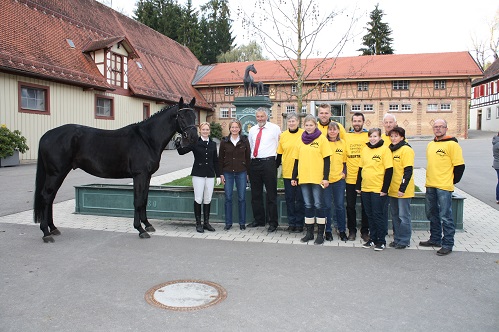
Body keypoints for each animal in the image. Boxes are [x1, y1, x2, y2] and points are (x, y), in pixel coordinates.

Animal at [33, 97, 199, 243]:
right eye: (181, 116)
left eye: (194, 116)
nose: (193, 138)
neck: (146, 139)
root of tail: (46, 135)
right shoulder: (139, 175)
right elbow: (138, 200)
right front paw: (140, 229)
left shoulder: (147, 176)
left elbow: (144, 200)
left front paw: (147, 225)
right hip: (55, 173)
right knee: (46, 197)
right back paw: (46, 233)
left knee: (50, 197)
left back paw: (53, 228)